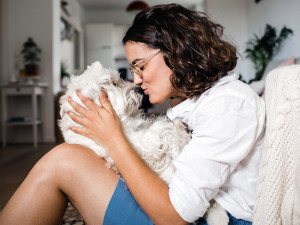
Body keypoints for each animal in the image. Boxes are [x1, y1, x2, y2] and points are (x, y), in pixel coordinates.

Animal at [58, 61, 227, 225]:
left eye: (119, 79)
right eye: (113, 83)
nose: (139, 89)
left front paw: (179, 129)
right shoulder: (139, 145)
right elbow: (160, 133)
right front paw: (177, 129)